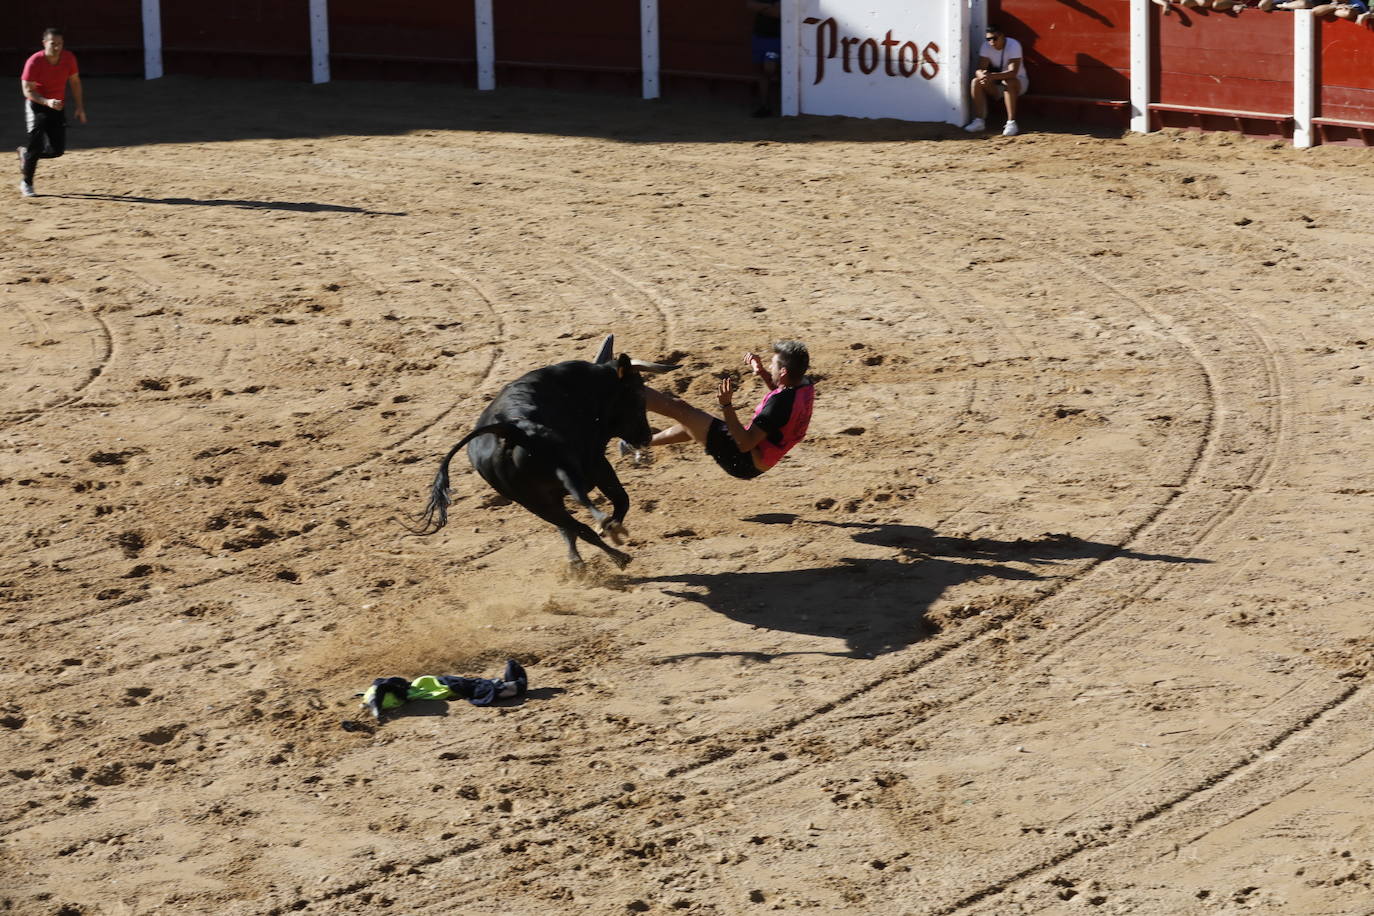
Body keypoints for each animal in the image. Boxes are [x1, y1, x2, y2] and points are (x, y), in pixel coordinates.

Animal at [403, 341, 673, 568]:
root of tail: (510, 430)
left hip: (534, 502)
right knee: (580, 498)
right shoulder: (596, 460)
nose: (645, 437)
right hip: (566, 470)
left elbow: (572, 527)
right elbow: (621, 498)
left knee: (574, 526)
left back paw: (596, 558)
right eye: (637, 393)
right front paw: (609, 526)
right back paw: (609, 531)